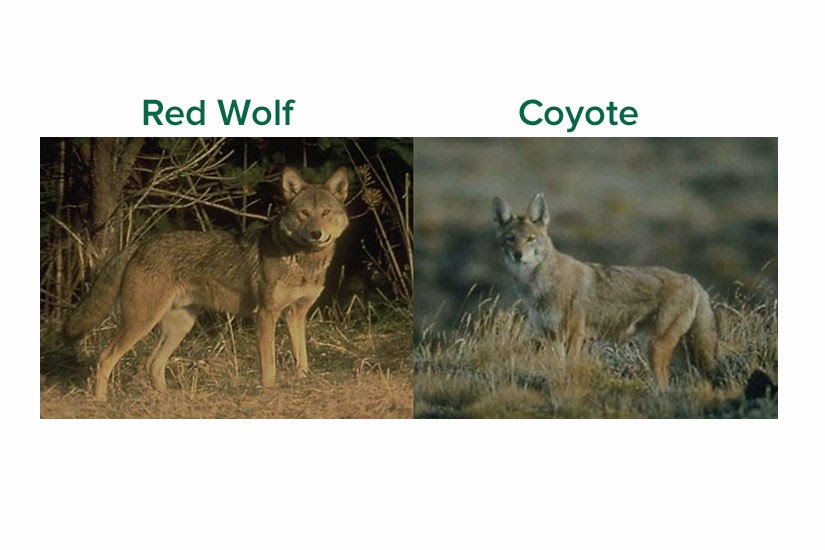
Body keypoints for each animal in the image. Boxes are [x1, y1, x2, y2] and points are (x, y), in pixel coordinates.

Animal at [65, 166, 349, 400]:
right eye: (304, 213)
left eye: (325, 213)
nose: (316, 233)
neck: (302, 261)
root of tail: (141, 244)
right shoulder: (266, 314)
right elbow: (268, 364)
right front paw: (269, 392)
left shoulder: (296, 314)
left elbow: (302, 358)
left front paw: (303, 385)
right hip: (141, 322)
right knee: (106, 358)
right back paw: (101, 403)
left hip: (180, 325)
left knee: (152, 364)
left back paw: (169, 400)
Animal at [492, 193, 717, 389]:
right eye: (510, 239)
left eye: (530, 238)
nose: (518, 255)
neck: (538, 287)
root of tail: (692, 279)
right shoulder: (551, 337)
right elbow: (558, 367)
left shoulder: (574, 335)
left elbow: (570, 368)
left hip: (656, 348)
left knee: (664, 386)